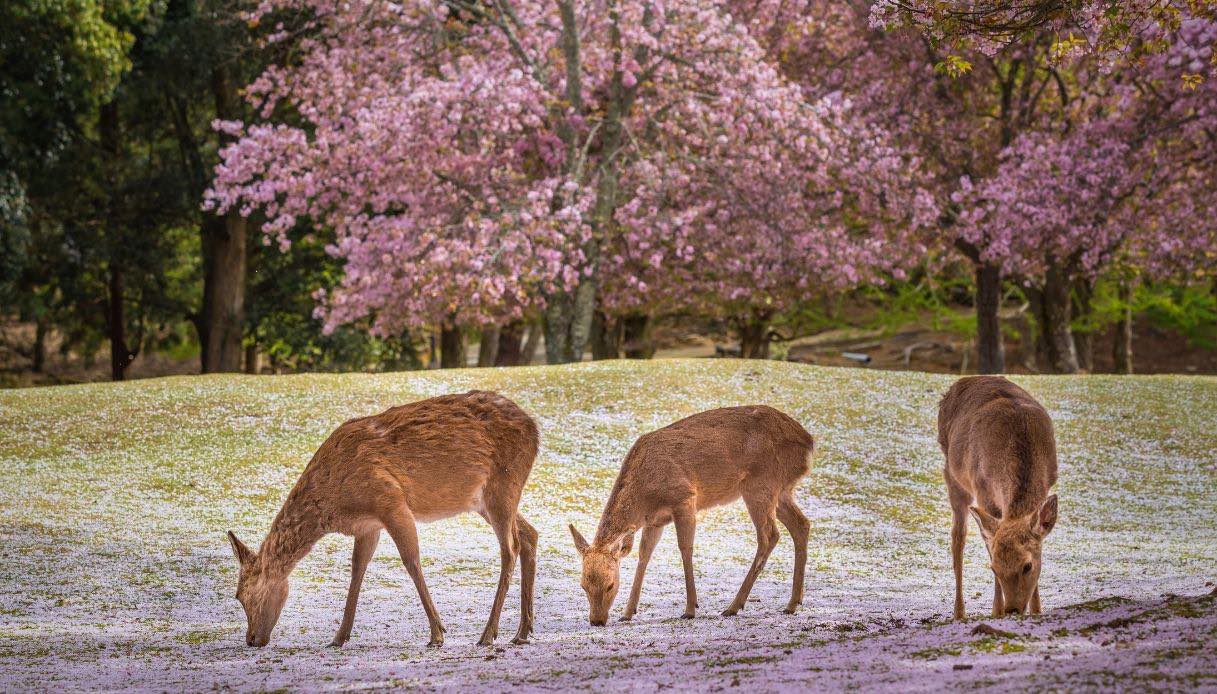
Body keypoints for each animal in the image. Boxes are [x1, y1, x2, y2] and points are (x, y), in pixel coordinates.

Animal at [225, 392, 537, 647]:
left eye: (240, 594)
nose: (251, 639)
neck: (336, 503)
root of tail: (535, 431)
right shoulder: (367, 525)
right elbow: (357, 569)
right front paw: (339, 637)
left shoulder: (390, 500)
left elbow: (411, 560)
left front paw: (437, 633)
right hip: (485, 499)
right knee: (530, 533)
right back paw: (522, 631)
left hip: (503, 484)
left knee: (510, 547)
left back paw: (488, 634)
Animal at [564, 401, 812, 623]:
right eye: (583, 585)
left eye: (610, 585)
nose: (596, 620)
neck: (644, 497)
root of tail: (809, 443)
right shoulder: (655, 521)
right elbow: (644, 555)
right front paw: (627, 613)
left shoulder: (684, 498)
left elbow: (685, 548)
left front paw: (690, 608)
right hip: (781, 489)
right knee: (801, 524)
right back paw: (792, 603)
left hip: (760, 484)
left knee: (769, 535)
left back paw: (733, 606)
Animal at [939, 375, 1056, 618]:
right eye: (994, 569)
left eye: (1028, 566)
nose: (1012, 609)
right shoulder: (983, 490)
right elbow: (988, 542)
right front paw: (996, 611)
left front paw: (1037, 610)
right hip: (953, 475)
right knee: (958, 537)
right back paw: (959, 613)